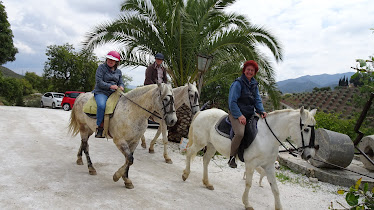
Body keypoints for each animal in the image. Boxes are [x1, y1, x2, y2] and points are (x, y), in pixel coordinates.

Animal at [183, 107, 318, 209]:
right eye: (306, 129)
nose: (309, 155)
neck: (267, 136)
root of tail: (202, 112)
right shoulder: (251, 164)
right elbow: (248, 184)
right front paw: (247, 203)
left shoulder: (269, 167)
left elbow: (275, 188)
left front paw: (279, 207)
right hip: (200, 143)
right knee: (189, 153)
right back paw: (185, 174)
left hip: (211, 146)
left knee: (205, 160)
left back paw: (207, 183)